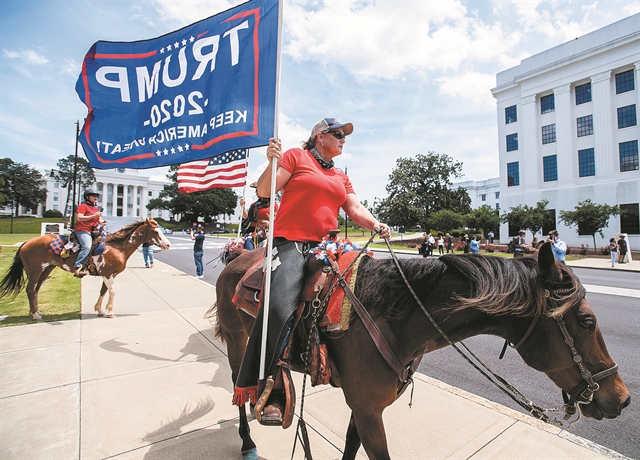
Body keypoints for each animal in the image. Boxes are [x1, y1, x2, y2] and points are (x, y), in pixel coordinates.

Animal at [0, 219, 170, 320]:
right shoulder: (108, 274)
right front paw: (110, 312)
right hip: (35, 270)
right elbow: (112, 291)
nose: (168, 244)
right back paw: (35, 314)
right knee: (30, 289)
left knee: (35, 289)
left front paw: (99, 310)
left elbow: (103, 291)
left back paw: (35, 312)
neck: (118, 247)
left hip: (46, 269)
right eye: (156, 231)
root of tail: (26, 242)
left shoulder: (108, 274)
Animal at [214, 243, 632, 458]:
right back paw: (249, 440)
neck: (389, 317)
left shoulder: (364, 408)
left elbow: (350, 447)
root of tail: (237, 259)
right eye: (587, 322)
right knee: (238, 389)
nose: (622, 397)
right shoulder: (369, 410)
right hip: (238, 343)